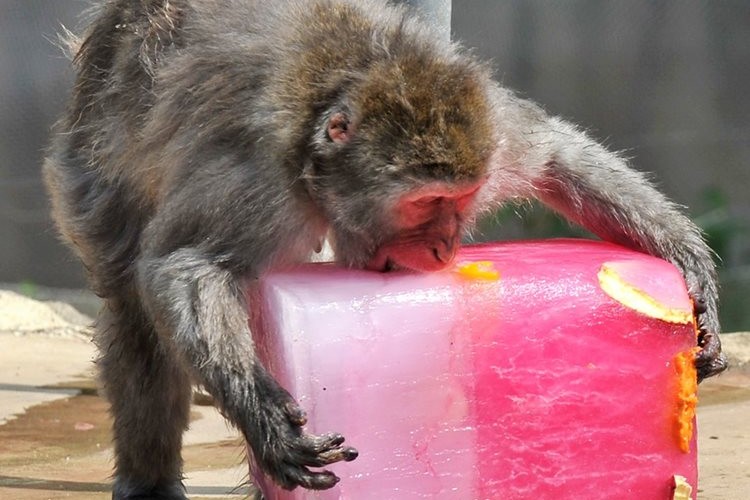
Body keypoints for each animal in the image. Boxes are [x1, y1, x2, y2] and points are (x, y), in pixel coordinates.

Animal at [45, 0, 728, 498]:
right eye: (427, 204)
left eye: (463, 198)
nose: (446, 244)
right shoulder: (254, 179)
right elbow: (185, 265)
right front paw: (264, 416)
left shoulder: (491, 133)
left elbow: (556, 154)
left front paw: (693, 276)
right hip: (90, 173)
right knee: (134, 307)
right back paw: (148, 480)